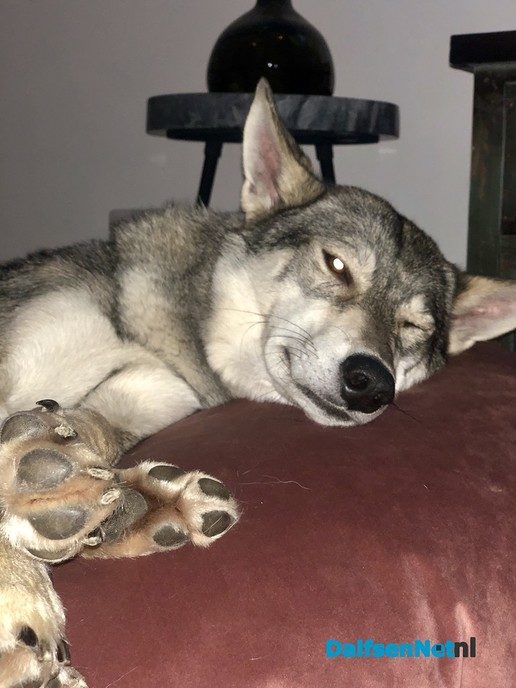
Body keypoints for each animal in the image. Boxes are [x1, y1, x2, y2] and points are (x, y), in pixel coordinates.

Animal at [0, 79, 514, 686]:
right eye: (336, 265)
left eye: (414, 328)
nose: (371, 383)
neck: (157, 337)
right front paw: (21, 587)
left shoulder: (154, 392)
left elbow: (88, 428)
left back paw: (140, 509)